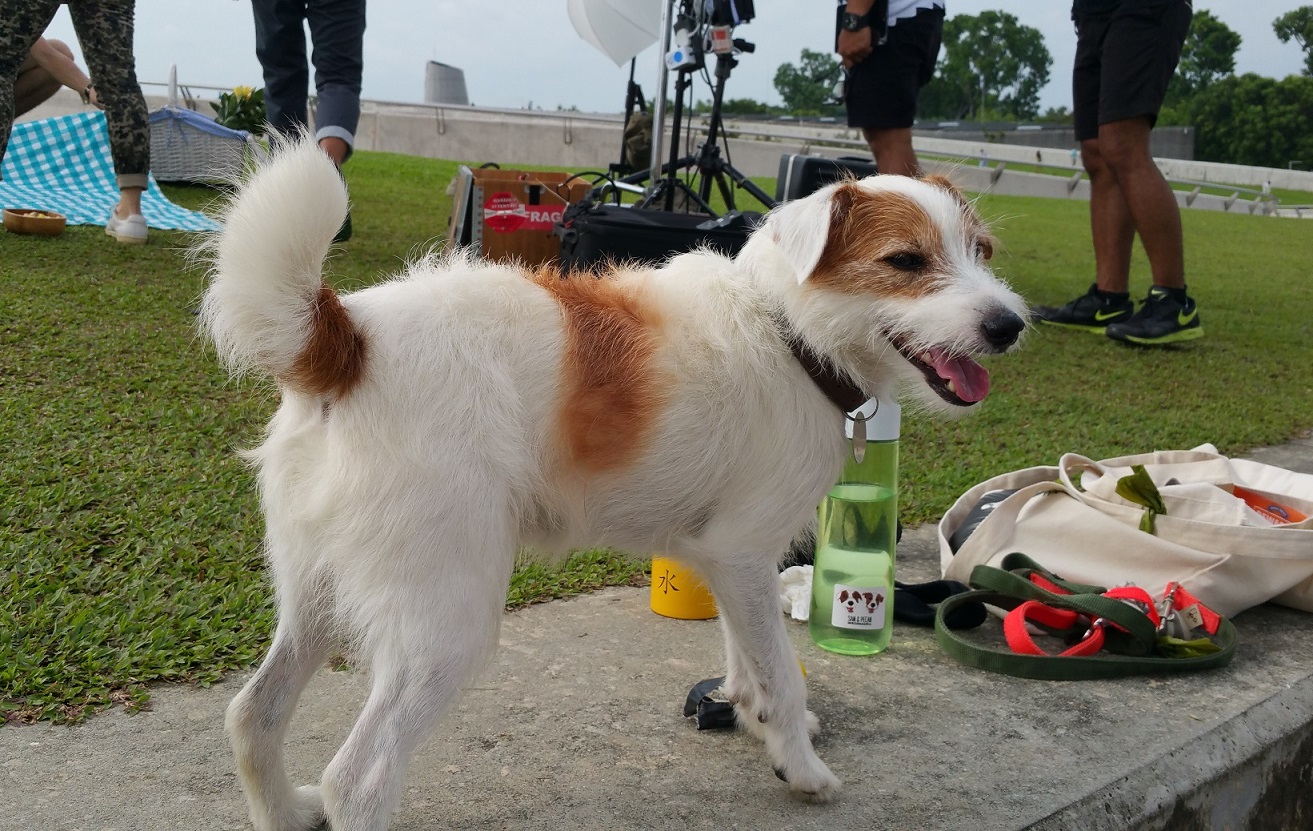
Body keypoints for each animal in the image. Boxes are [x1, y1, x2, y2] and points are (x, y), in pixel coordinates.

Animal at [201, 137, 1027, 831]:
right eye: (904, 261)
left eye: (982, 251)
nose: (1009, 324)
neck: (786, 332)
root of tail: (345, 338)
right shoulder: (742, 552)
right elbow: (782, 671)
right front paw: (798, 761)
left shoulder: (730, 561)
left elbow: (748, 654)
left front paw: (749, 712)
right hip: (445, 619)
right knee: (357, 778)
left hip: (315, 589)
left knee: (253, 714)